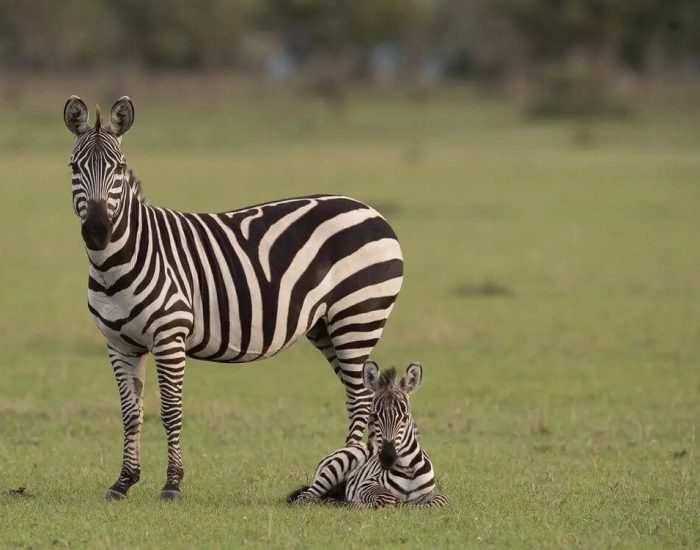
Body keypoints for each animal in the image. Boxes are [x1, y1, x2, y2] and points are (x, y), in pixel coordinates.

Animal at [63, 96, 404, 501]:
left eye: (118, 168)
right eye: (74, 167)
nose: (97, 231)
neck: (118, 261)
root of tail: (372, 211)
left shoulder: (169, 336)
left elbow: (170, 410)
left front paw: (172, 484)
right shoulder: (119, 344)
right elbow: (131, 413)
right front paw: (124, 481)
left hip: (357, 317)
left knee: (361, 400)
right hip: (327, 327)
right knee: (361, 397)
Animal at [287, 361, 448, 508]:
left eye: (405, 417)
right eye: (375, 417)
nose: (387, 459)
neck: (408, 469)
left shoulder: (431, 493)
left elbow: (440, 501)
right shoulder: (367, 485)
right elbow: (387, 499)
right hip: (338, 466)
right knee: (306, 498)